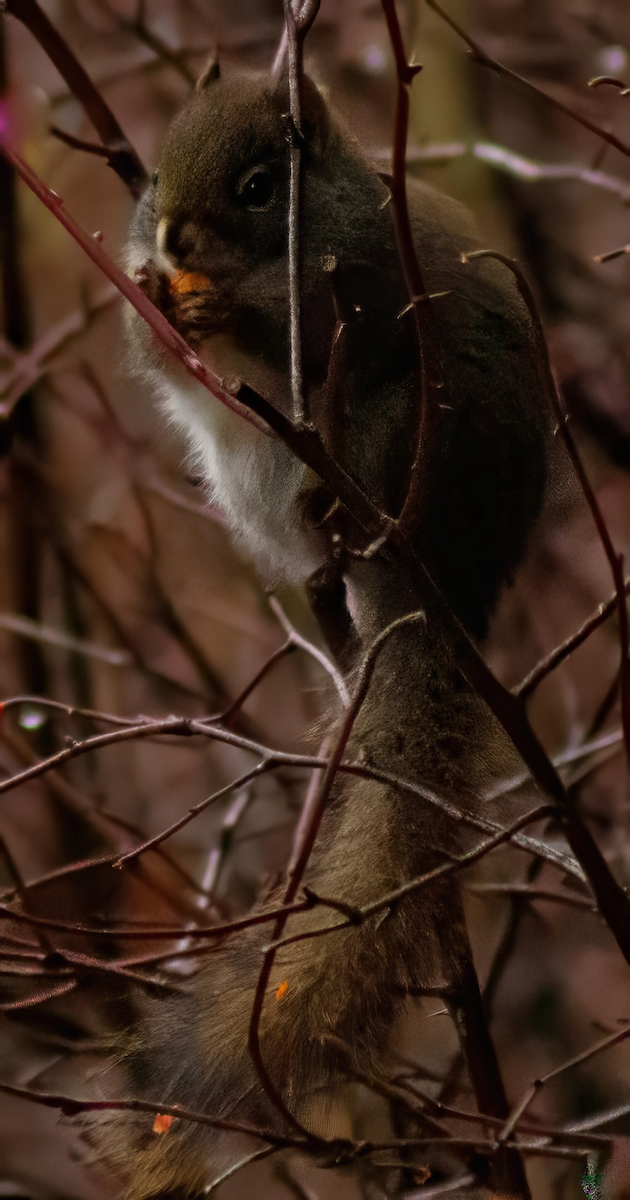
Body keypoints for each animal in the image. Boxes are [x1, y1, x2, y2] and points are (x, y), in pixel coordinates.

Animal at [92, 61, 556, 1199]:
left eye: (262, 187)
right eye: (154, 170)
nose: (174, 233)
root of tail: (449, 587)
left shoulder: (361, 283)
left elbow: (305, 314)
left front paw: (223, 300)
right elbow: (149, 348)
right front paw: (159, 296)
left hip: (399, 433)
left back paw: (340, 519)